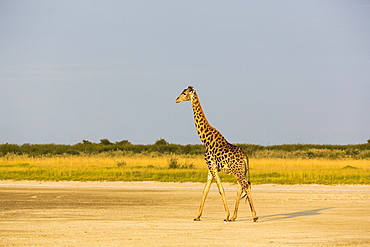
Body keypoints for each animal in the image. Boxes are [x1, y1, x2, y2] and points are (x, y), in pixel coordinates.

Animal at [176, 85, 258, 222]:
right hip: (241, 171)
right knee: (240, 187)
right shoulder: (210, 167)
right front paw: (197, 216)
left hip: (237, 171)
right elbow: (205, 190)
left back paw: (254, 216)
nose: (176, 99)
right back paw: (234, 217)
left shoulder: (212, 165)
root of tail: (245, 158)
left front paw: (226, 215)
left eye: (184, 93)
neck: (204, 139)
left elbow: (220, 189)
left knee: (246, 186)